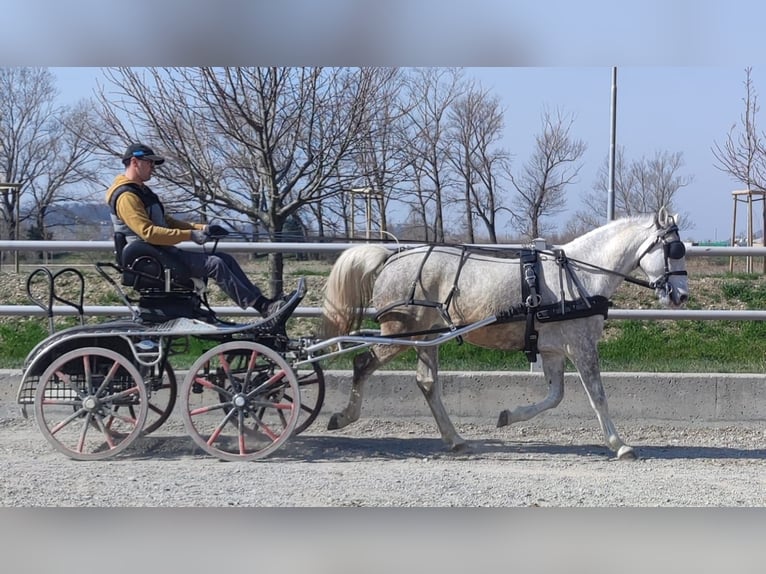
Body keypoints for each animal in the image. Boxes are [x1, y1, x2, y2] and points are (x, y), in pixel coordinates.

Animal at [320, 209, 692, 462]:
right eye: (674, 250)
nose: (682, 296)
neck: (580, 273)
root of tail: (391, 257)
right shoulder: (581, 346)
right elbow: (597, 396)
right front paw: (620, 445)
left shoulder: (553, 350)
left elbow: (555, 396)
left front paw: (508, 416)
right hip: (403, 333)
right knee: (363, 363)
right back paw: (343, 416)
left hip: (427, 339)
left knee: (426, 382)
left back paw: (456, 440)